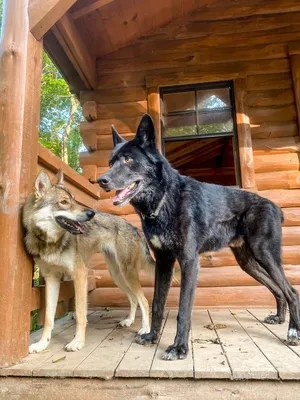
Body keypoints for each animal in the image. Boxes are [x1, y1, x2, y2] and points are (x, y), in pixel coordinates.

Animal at [23, 169, 154, 354]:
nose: (91, 213)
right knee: (134, 299)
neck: (51, 243)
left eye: (74, 199)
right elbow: (48, 318)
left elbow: (80, 314)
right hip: (117, 276)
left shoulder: (80, 275)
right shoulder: (51, 279)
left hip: (126, 274)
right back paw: (128, 321)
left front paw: (77, 342)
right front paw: (42, 344)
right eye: (64, 202)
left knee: (144, 300)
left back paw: (145, 329)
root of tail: (134, 227)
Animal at [98, 114, 300, 360]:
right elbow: (157, 303)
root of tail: (275, 207)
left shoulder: (189, 262)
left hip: (265, 254)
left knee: (291, 291)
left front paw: (179, 348)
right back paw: (279, 318)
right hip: (248, 263)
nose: (101, 180)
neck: (165, 199)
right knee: (278, 289)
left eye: (128, 160)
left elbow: (183, 309)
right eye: (110, 163)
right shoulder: (163, 262)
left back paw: (293, 332)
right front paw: (152, 336)